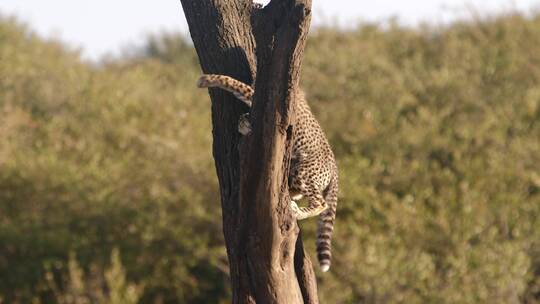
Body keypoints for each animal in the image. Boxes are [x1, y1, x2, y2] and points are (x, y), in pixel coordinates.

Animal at [196, 74, 338, 274]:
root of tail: (335, 167)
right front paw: (243, 123)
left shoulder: (258, 97)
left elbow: (235, 83)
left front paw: (208, 79)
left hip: (303, 172)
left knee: (321, 203)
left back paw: (297, 211)